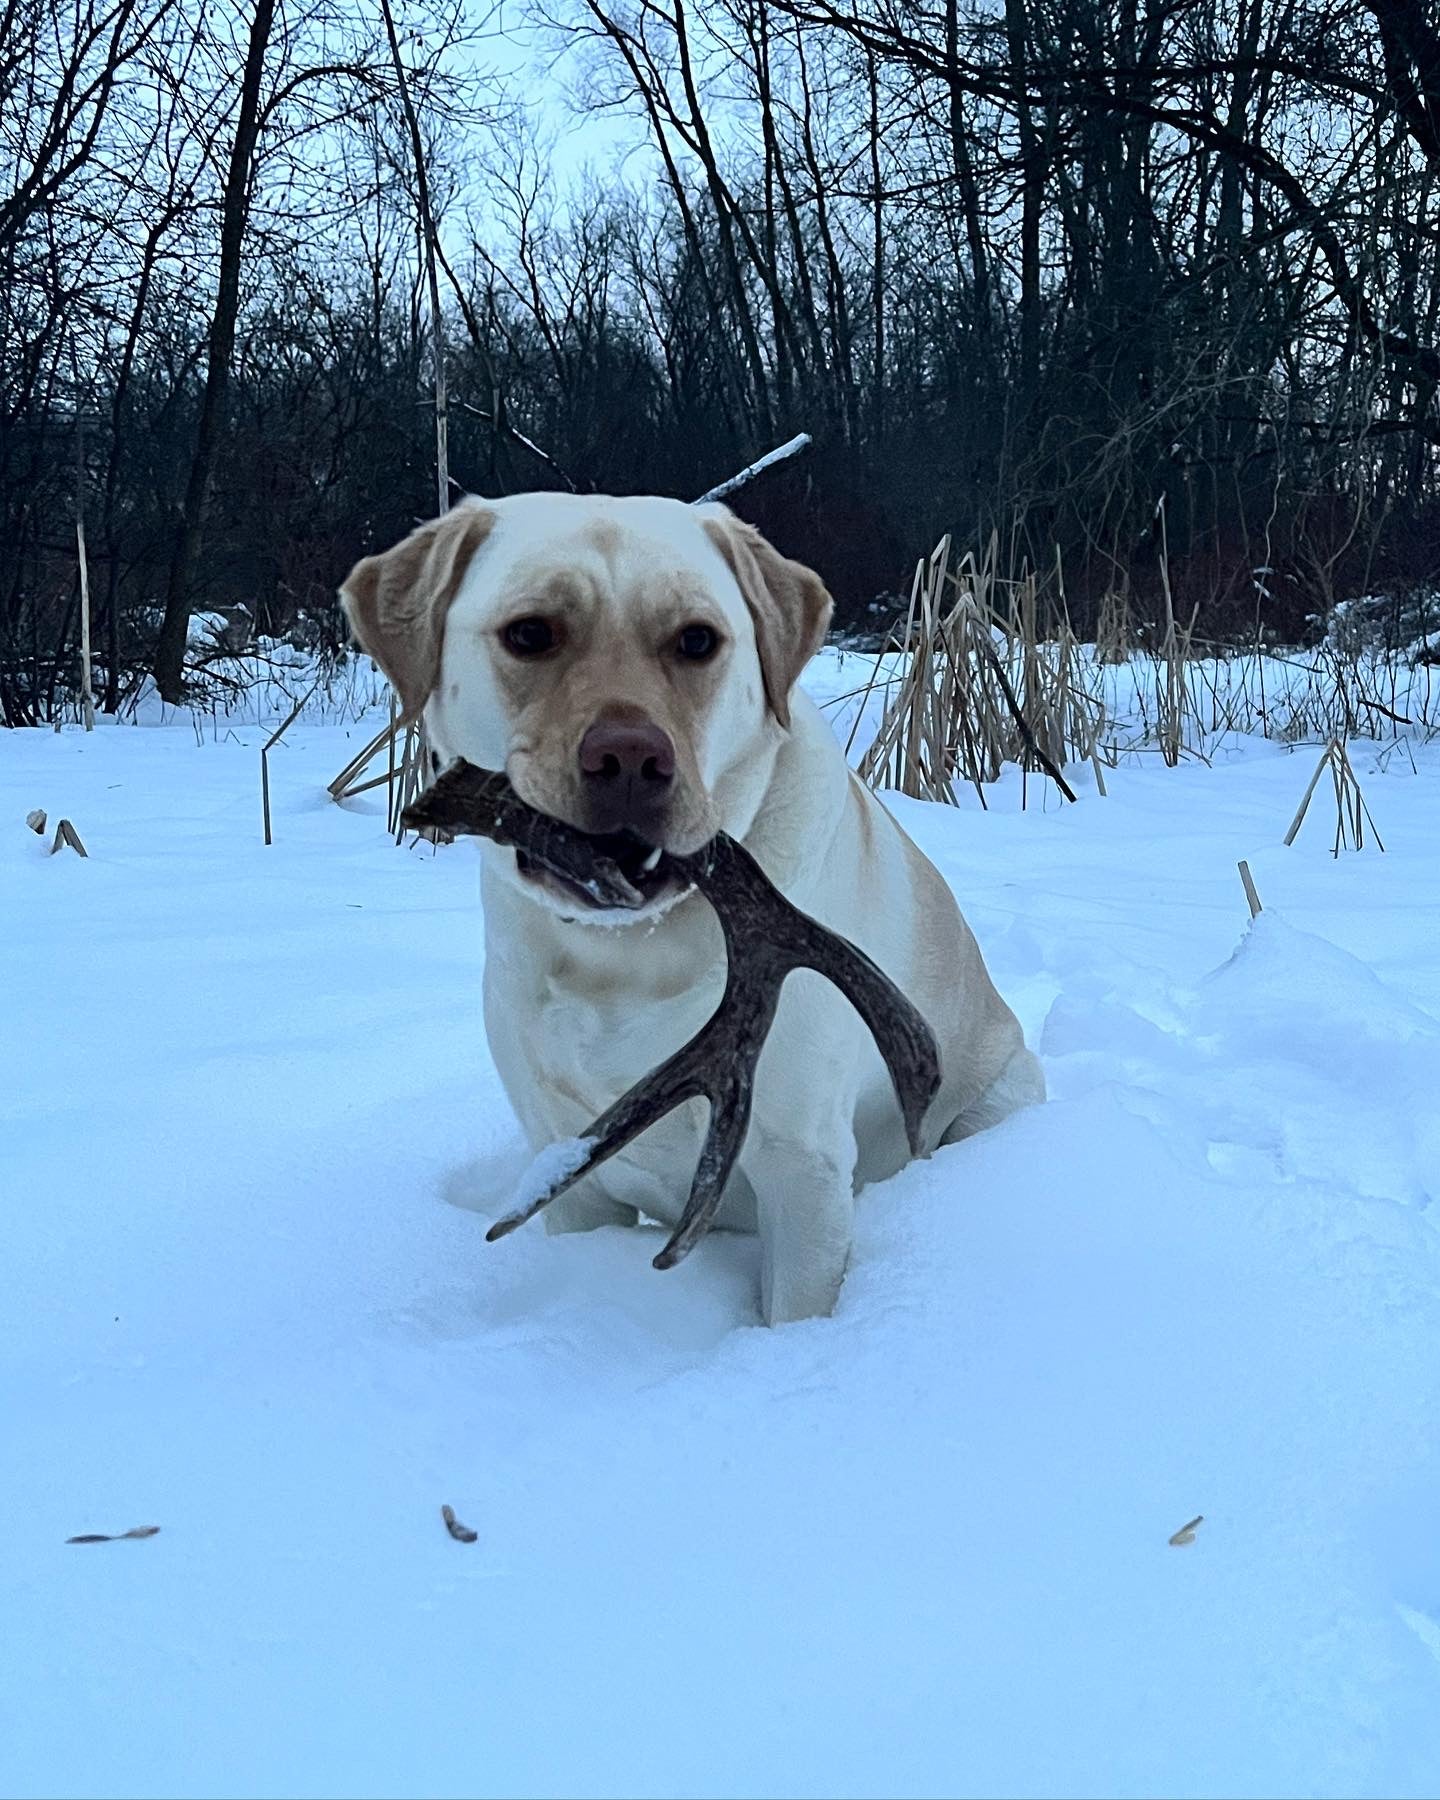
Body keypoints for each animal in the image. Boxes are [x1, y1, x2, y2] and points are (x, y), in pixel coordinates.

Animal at [341, 493, 1043, 1323]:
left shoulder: (803, 1167)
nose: (630, 758)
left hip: (996, 1096)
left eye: (697, 640)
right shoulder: (561, 1161)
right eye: (531, 632)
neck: (624, 953)